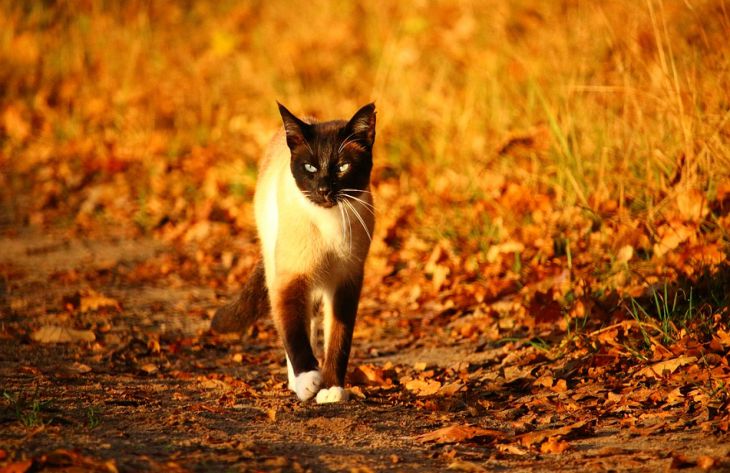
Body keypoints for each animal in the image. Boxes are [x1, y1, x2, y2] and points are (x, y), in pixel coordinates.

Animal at [210, 102, 376, 402]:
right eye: (310, 167)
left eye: (342, 167)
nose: (324, 190)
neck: (330, 223)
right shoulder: (292, 278)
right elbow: (294, 335)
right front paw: (309, 380)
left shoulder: (346, 282)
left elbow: (339, 341)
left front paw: (331, 389)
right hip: (279, 267)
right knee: (298, 325)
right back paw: (297, 383)